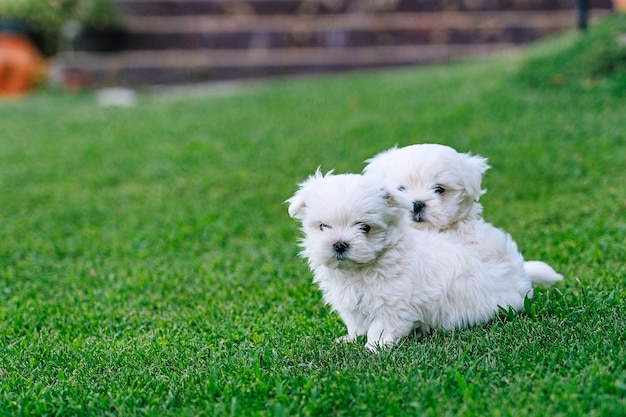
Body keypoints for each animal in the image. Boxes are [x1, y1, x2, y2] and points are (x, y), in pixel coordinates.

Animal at [286, 171, 540, 350]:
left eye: (365, 228)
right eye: (323, 226)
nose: (339, 244)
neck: (362, 269)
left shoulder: (392, 304)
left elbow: (381, 327)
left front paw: (373, 347)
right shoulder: (352, 304)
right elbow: (356, 323)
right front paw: (350, 339)